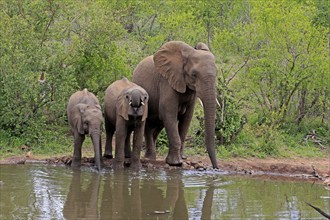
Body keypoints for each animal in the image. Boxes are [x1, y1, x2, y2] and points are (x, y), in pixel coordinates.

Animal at [131, 40, 219, 168]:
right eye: (194, 75)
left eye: (216, 74)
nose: (215, 168)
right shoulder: (167, 82)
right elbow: (168, 113)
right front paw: (176, 162)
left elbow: (186, 119)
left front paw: (182, 158)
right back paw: (149, 158)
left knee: (157, 126)